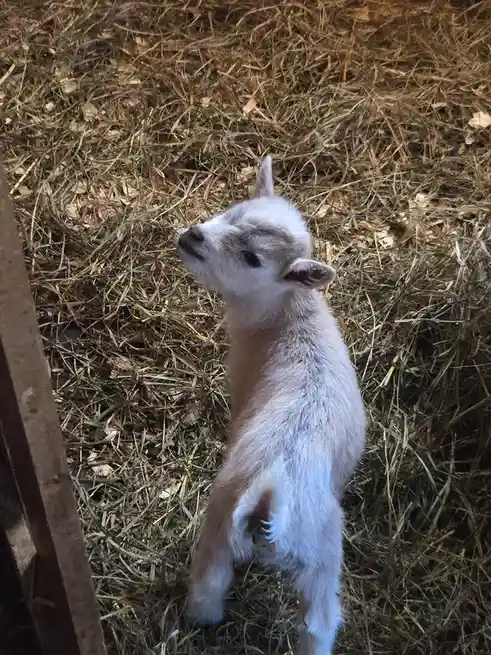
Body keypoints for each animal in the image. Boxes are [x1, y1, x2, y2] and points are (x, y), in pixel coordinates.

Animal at [176, 157, 366, 655]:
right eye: (233, 211)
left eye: (253, 259)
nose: (194, 236)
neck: (286, 318)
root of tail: (270, 493)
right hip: (258, 537)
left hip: (261, 538)